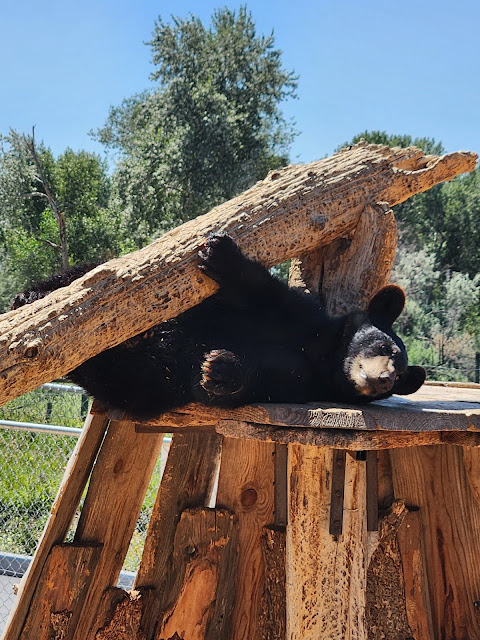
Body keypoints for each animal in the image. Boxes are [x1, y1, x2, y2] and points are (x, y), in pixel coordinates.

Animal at [11, 233, 426, 418]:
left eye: (399, 376)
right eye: (384, 347)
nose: (383, 379)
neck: (325, 358)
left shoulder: (304, 384)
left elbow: (260, 383)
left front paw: (220, 369)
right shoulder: (302, 316)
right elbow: (260, 293)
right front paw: (221, 254)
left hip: (137, 381)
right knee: (84, 276)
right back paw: (29, 297)